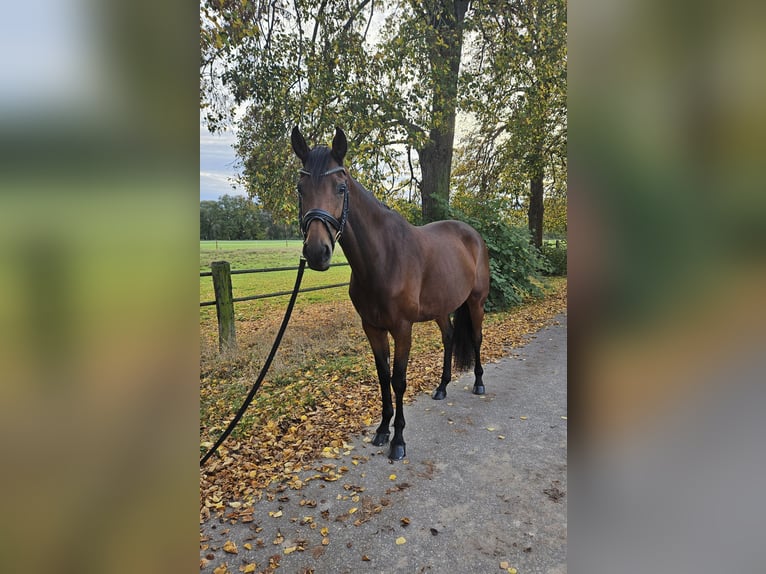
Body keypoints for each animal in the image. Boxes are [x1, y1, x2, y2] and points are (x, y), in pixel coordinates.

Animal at [291, 126, 490, 461]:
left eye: (341, 188)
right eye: (300, 188)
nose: (317, 252)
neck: (383, 258)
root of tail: (474, 235)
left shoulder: (402, 328)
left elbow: (399, 380)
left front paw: (398, 440)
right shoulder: (372, 327)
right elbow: (383, 376)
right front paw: (383, 430)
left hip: (476, 302)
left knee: (475, 338)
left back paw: (478, 383)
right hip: (440, 308)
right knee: (449, 337)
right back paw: (442, 388)